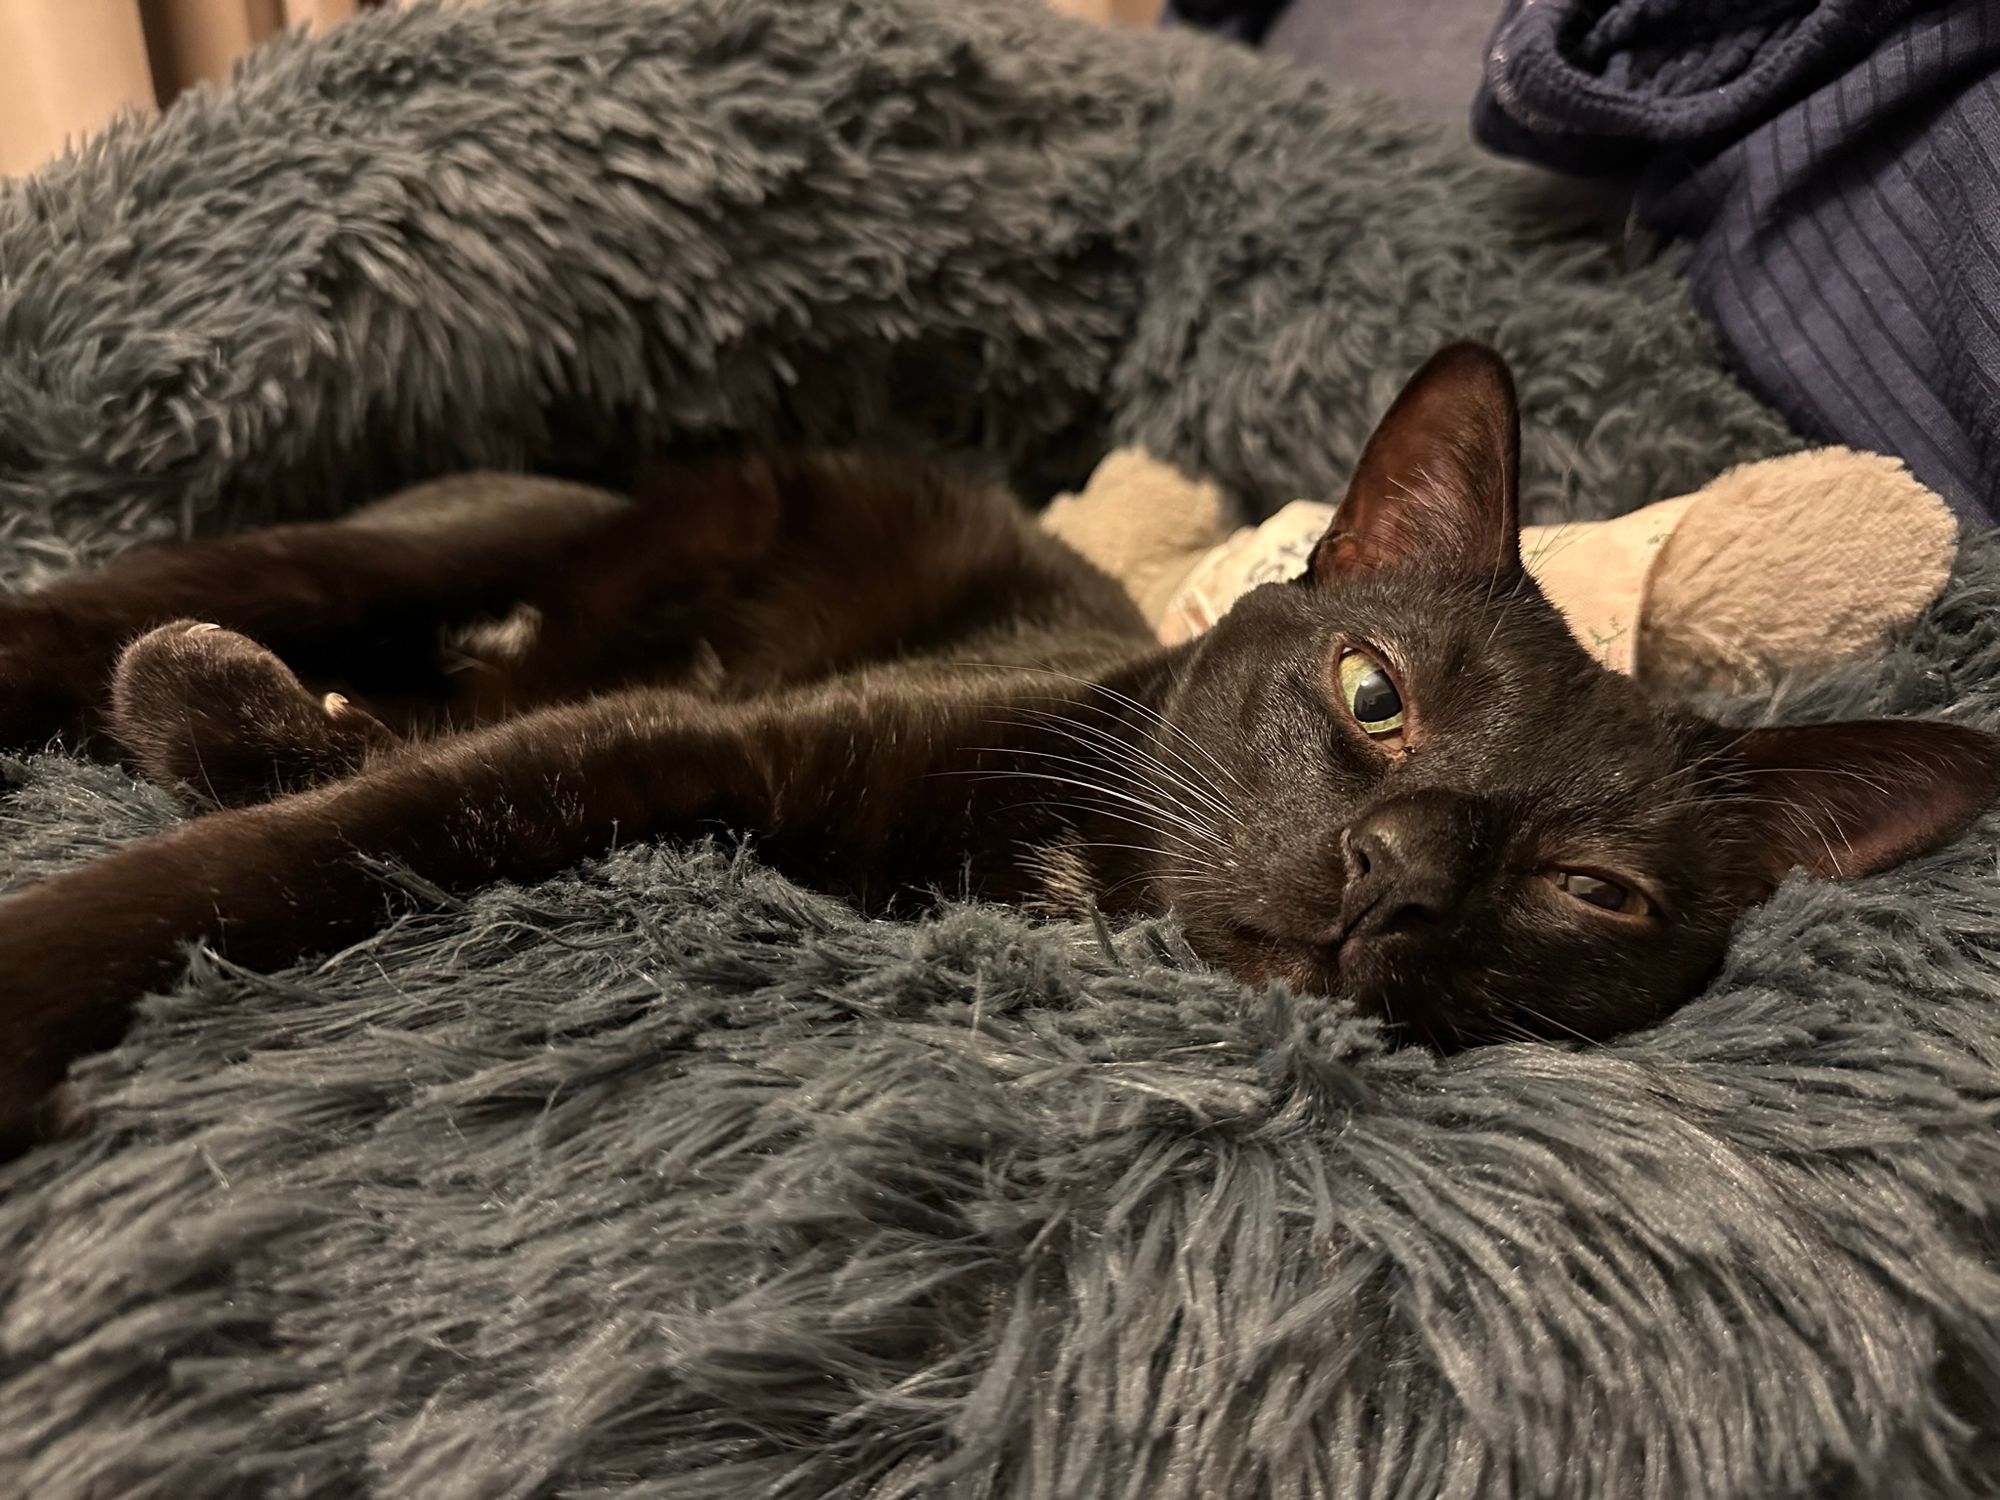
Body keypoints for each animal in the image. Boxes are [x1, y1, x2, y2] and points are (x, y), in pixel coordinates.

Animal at [3, 346, 2000, 1160]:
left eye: (1594, 890)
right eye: (1376, 696)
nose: (1396, 879)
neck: (1072, 885)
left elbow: (382, 801)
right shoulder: (709, 745)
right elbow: (345, 837)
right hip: (447, 546)